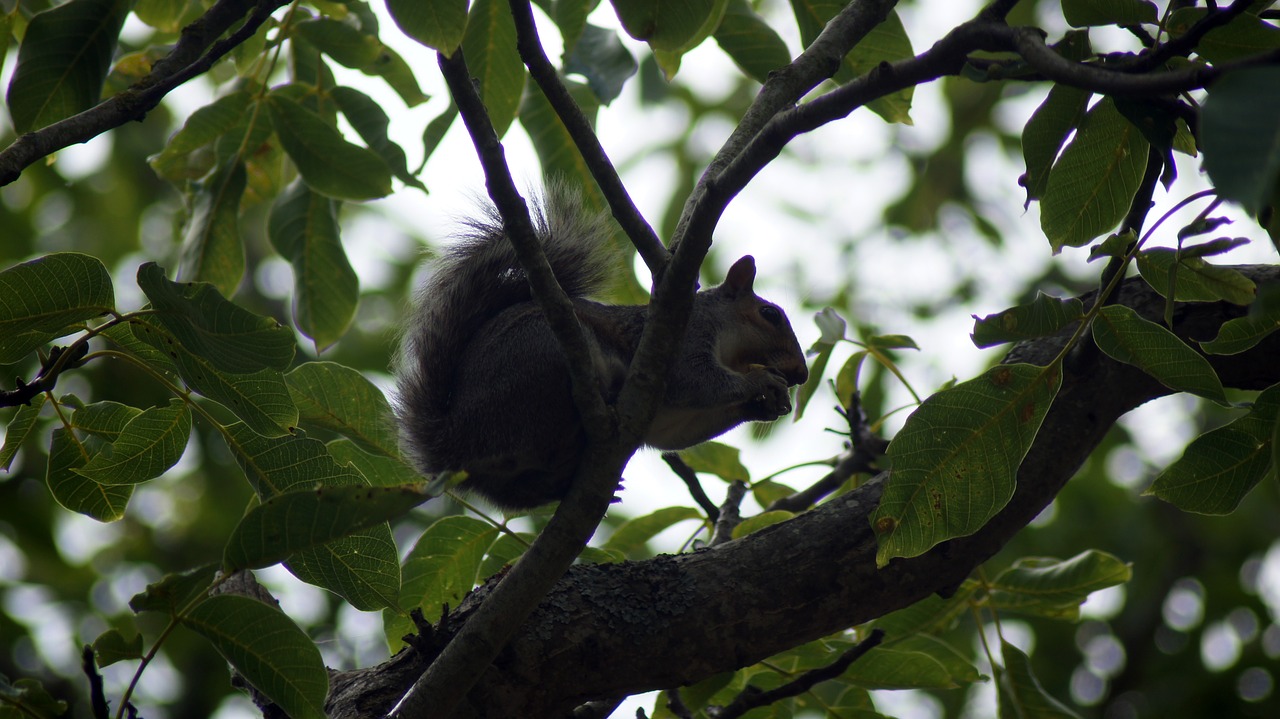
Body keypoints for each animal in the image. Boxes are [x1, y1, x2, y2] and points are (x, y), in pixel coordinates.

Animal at [394, 188, 803, 506]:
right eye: (770, 314)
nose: (801, 374)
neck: (727, 347)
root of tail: (455, 441)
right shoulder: (682, 340)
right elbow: (695, 383)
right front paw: (760, 385)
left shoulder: (669, 418)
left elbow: (680, 431)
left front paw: (766, 405)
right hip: (540, 357)